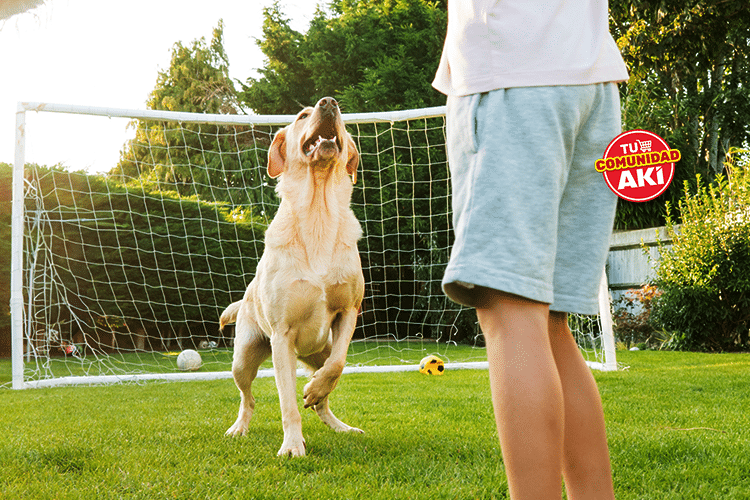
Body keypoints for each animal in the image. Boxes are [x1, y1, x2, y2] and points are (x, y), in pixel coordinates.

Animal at [219, 95, 366, 456]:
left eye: (342, 117)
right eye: (302, 115)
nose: (329, 103)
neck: (318, 213)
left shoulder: (349, 311)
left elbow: (336, 366)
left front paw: (314, 390)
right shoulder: (282, 337)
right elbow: (287, 403)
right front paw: (292, 446)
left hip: (319, 350)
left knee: (325, 390)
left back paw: (338, 423)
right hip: (244, 357)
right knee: (247, 397)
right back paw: (239, 428)